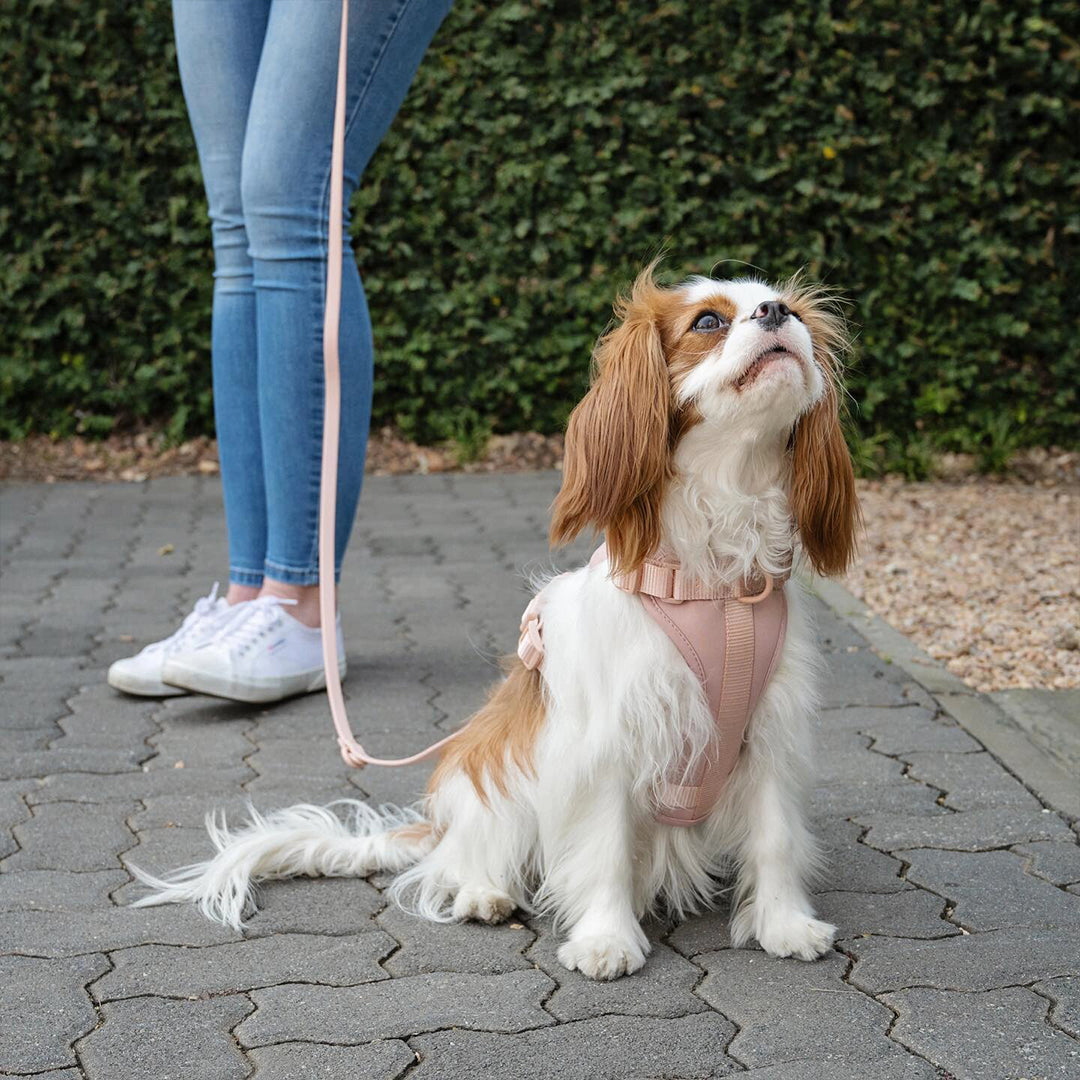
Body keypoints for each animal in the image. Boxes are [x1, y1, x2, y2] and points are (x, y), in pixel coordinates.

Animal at [137, 261, 859, 980]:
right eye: (708, 320)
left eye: (791, 310)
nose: (776, 313)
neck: (712, 590)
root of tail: (439, 825)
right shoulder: (604, 744)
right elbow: (603, 846)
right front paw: (606, 939)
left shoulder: (770, 735)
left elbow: (775, 838)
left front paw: (784, 924)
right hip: (495, 778)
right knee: (460, 862)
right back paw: (483, 893)